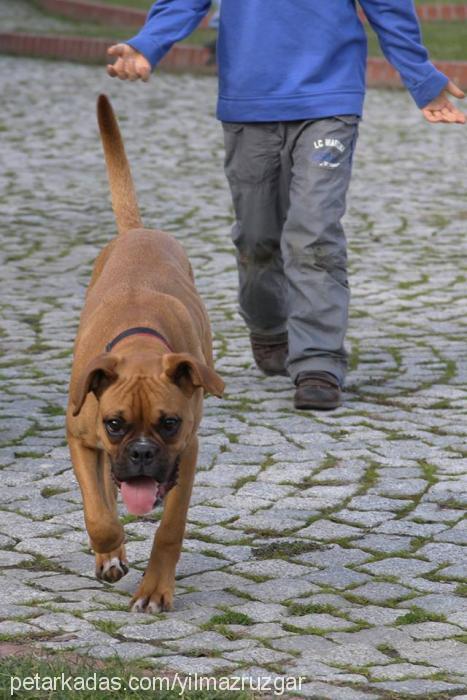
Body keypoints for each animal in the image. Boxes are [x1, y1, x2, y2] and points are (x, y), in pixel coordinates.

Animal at [67, 94, 225, 612]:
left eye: (169, 423)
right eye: (116, 423)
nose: (139, 453)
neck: (139, 345)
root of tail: (138, 231)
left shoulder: (187, 453)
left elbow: (169, 530)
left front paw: (154, 589)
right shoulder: (81, 438)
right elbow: (99, 514)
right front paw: (110, 548)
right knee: (103, 493)